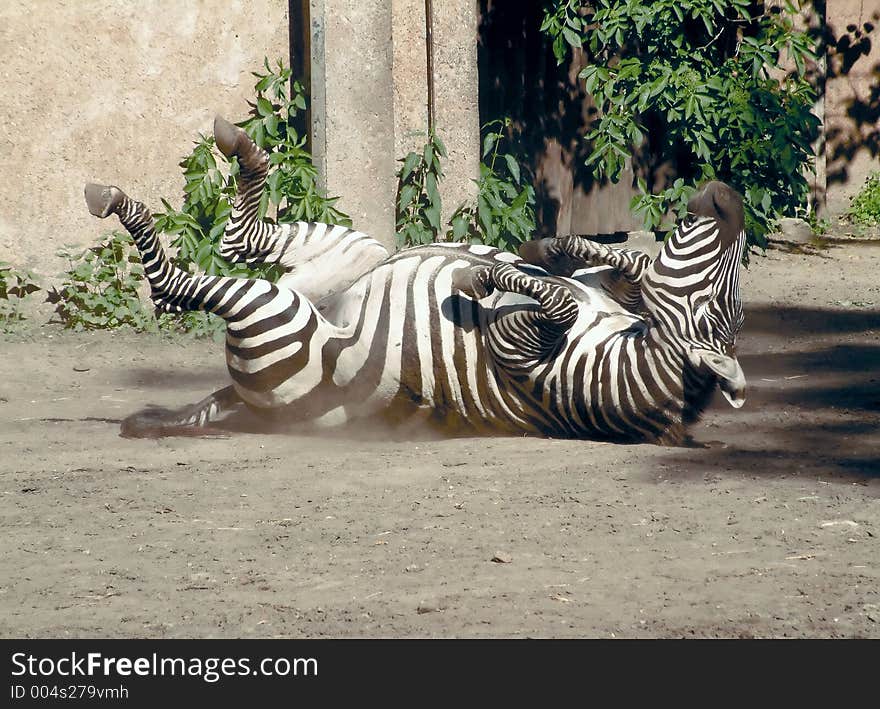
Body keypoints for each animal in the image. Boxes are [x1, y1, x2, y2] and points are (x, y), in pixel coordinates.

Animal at [82, 118, 744, 446]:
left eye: (718, 300)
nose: (729, 194)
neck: (627, 347)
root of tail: (245, 407)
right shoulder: (601, 292)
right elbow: (606, 268)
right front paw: (539, 249)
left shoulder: (521, 355)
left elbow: (553, 300)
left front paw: (484, 274)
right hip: (358, 253)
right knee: (240, 238)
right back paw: (236, 148)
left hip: (281, 319)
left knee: (178, 283)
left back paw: (117, 201)